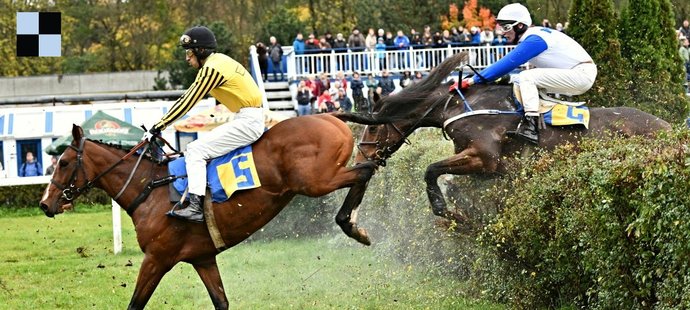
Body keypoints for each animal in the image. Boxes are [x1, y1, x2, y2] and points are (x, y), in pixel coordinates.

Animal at [38, 114, 376, 310]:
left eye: (63, 162)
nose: (44, 203)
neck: (149, 188)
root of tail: (327, 115)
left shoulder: (157, 258)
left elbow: (135, 304)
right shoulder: (203, 258)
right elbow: (221, 302)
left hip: (315, 181)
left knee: (365, 170)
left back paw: (351, 225)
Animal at [334, 51, 668, 220]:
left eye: (373, 127)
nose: (361, 158)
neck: (457, 105)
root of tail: (666, 126)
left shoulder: (485, 158)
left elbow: (430, 170)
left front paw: (446, 211)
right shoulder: (485, 167)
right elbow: (452, 183)